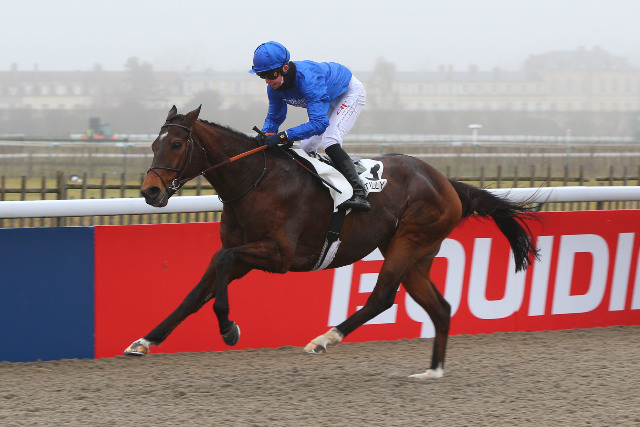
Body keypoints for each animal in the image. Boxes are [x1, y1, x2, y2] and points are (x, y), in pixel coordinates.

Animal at [122, 105, 536, 380]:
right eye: (155, 144)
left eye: (177, 143)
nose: (150, 192)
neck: (256, 180)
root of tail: (447, 183)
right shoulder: (243, 253)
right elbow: (198, 291)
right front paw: (143, 341)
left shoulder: (280, 255)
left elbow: (221, 269)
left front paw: (229, 328)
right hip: (417, 254)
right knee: (441, 307)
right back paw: (432, 372)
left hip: (409, 241)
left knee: (382, 297)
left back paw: (324, 338)